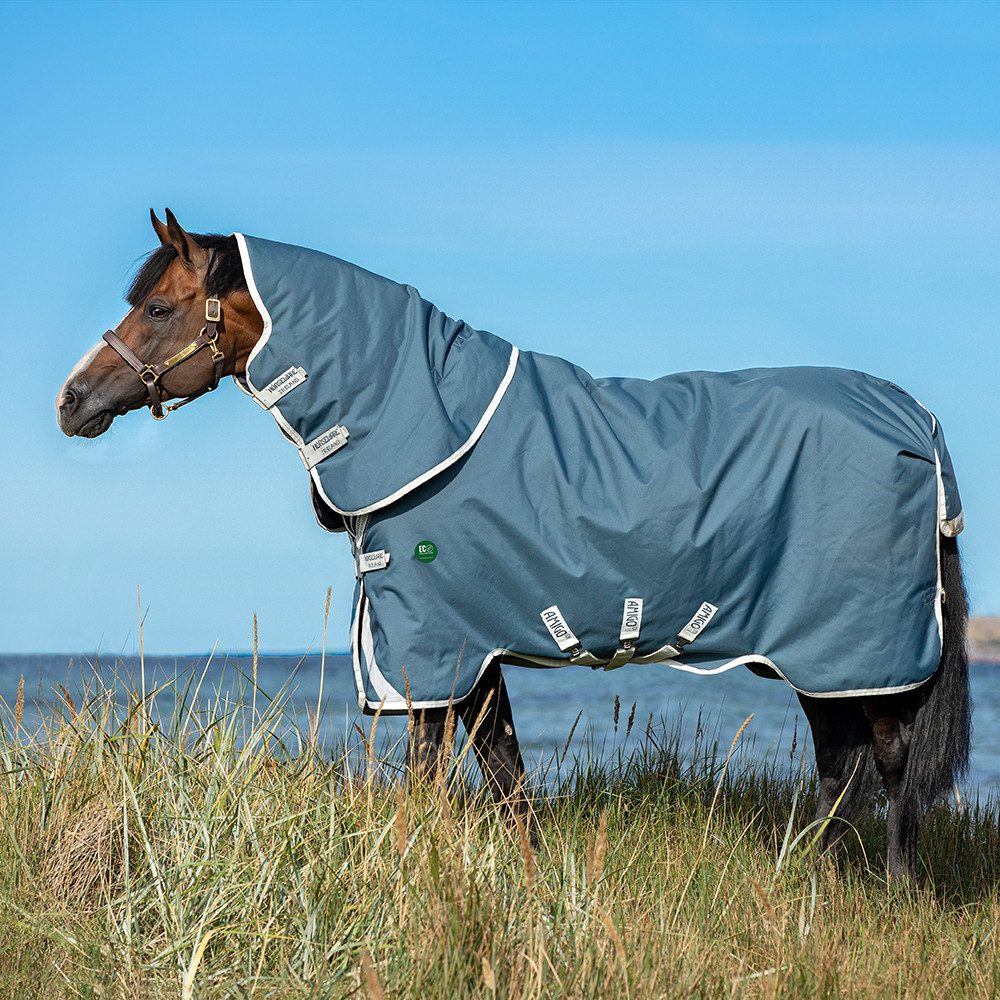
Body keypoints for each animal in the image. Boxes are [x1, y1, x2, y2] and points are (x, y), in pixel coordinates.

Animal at [57, 209, 970, 881]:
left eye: (159, 307)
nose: (71, 401)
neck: (422, 426)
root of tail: (914, 417)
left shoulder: (432, 646)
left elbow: (432, 776)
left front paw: (408, 876)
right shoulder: (474, 649)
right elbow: (506, 777)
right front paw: (527, 884)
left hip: (854, 646)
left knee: (888, 759)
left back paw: (892, 887)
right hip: (819, 657)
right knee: (841, 764)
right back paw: (804, 876)